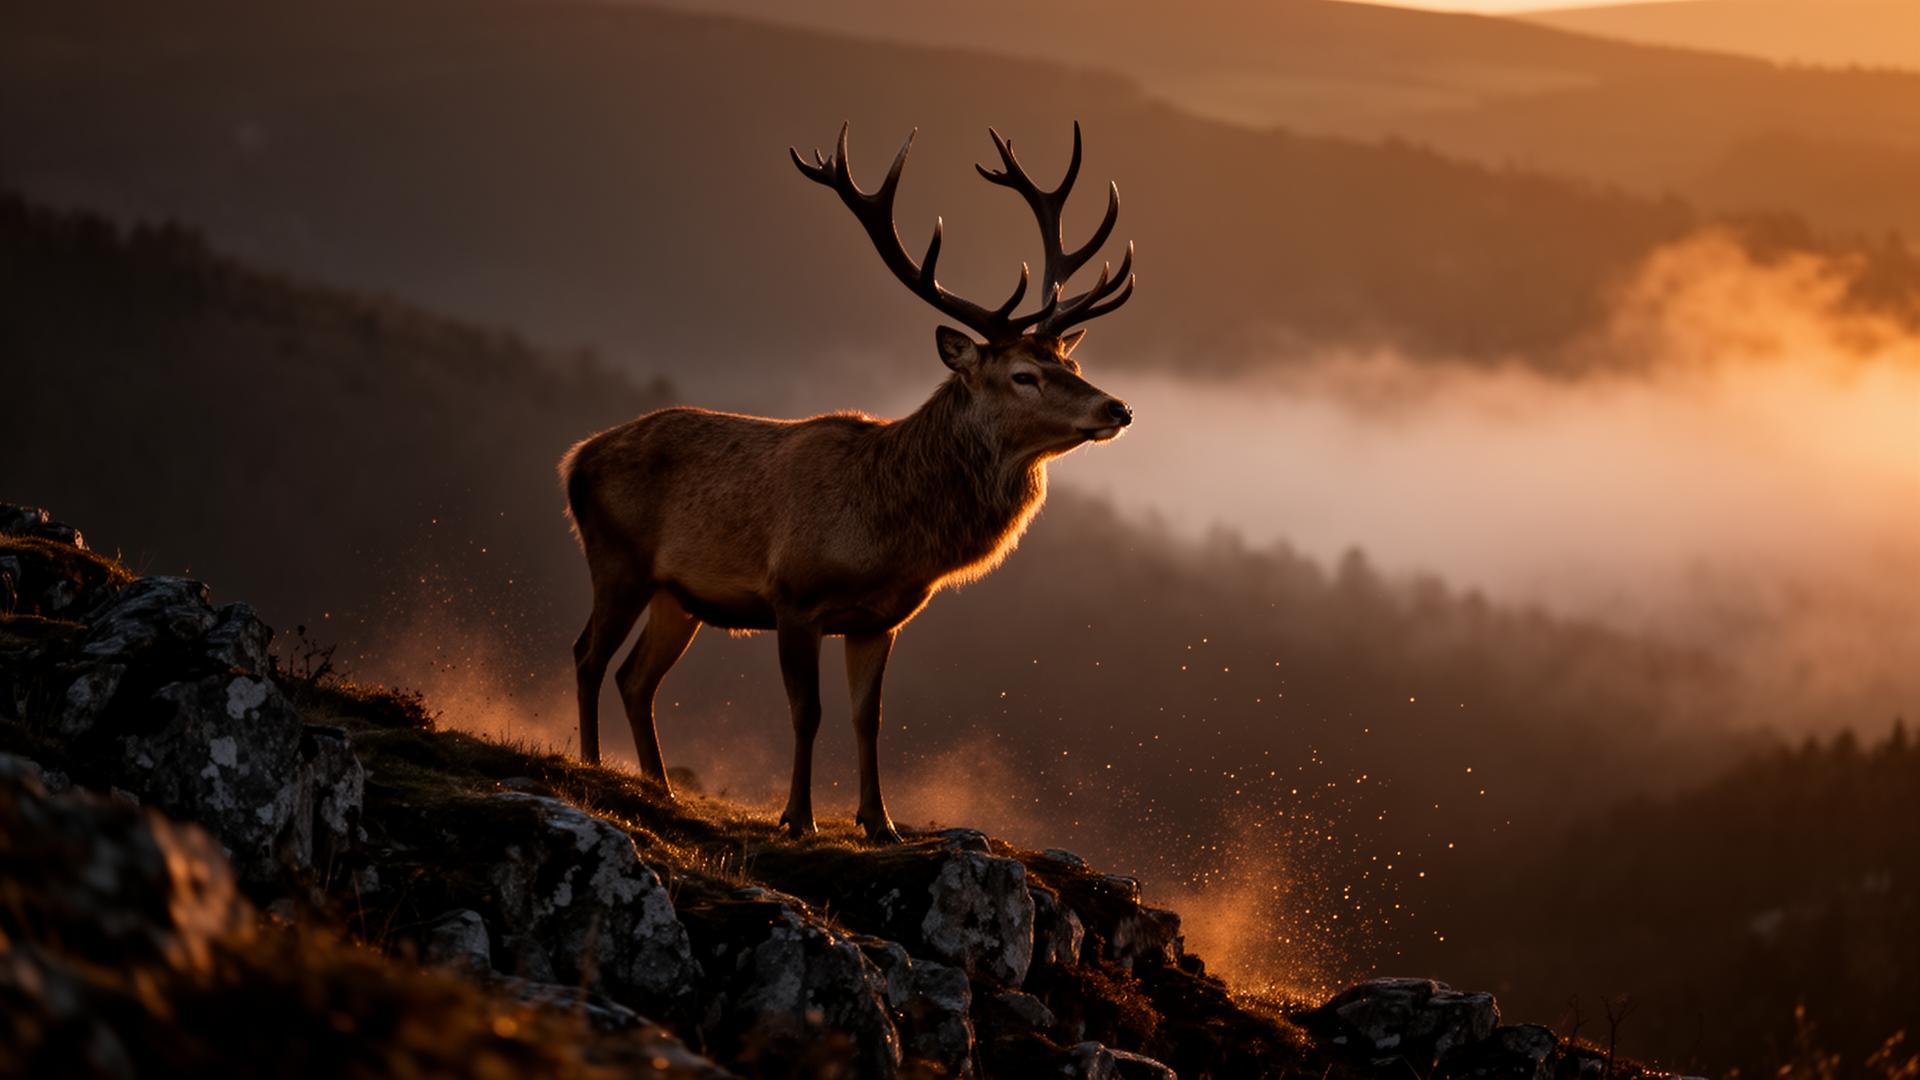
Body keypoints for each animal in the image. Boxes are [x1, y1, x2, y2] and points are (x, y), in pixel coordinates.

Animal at [560, 122, 1136, 843]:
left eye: (1071, 362)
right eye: (1023, 375)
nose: (1117, 408)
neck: (885, 537)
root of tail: (576, 459)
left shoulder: (878, 621)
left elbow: (870, 718)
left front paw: (880, 822)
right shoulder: (793, 597)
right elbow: (807, 712)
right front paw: (798, 818)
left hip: (677, 595)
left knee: (636, 678)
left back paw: (658, 785)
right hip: (617, 557)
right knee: (588, 655)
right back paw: (590, 765)